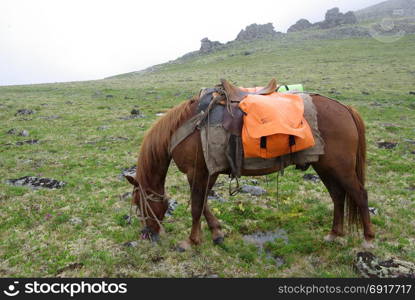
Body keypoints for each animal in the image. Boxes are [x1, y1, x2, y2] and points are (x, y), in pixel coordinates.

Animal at [125, 79, 376, 251]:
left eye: (139, 204)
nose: (147, 234)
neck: (187, 125)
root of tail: (345, 109)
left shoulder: (197, 172)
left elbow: (197, 206)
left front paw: (191, 240)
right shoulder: (209, 172)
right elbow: (204, 203)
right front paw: (216, 233)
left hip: (340, 166)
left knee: (359, 194)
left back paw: (368, 239)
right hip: (324, 166)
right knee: (338, 196)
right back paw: (335, 234)